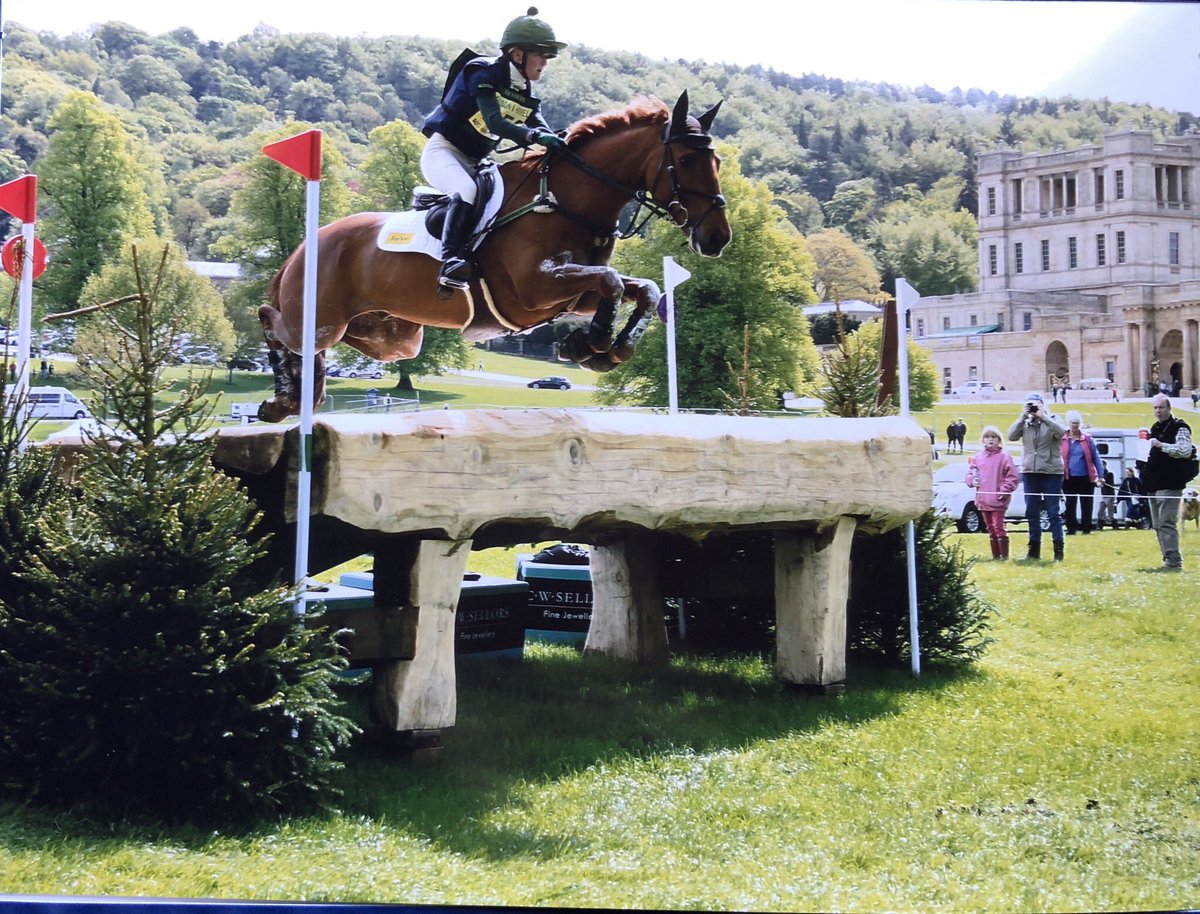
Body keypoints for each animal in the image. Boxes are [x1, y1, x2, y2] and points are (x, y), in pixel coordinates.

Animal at [256, 91, 731, 421]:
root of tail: (306, 244)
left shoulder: (572, 295)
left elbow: (640, 288)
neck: (565, 199)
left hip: (392, 338)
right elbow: (612, 281)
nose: (717, 238)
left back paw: (300, 397)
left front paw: (602, 349)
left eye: (718, 162)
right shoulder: (534, 290)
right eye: (686, 159)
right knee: (272, 320)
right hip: (321, 320)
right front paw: (593, 342)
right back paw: (281, 401)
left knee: (325, 350)